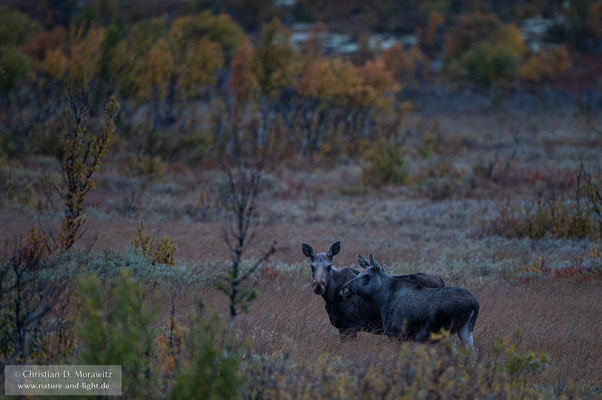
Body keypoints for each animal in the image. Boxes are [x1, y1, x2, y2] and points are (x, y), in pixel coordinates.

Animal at [302, 241, 442, 340]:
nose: (318, 285)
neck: (331, 297)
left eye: (329, 266)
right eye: (312, 266)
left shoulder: (351, 326)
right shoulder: (342, 327)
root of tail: (441, 280)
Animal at [342, 256, 478, 346]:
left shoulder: (396, 334)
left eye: (367, 276)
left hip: (450, 332)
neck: (382, 299)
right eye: (358, 274)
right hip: (466, 330)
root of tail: (475, 303)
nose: (345, 288)